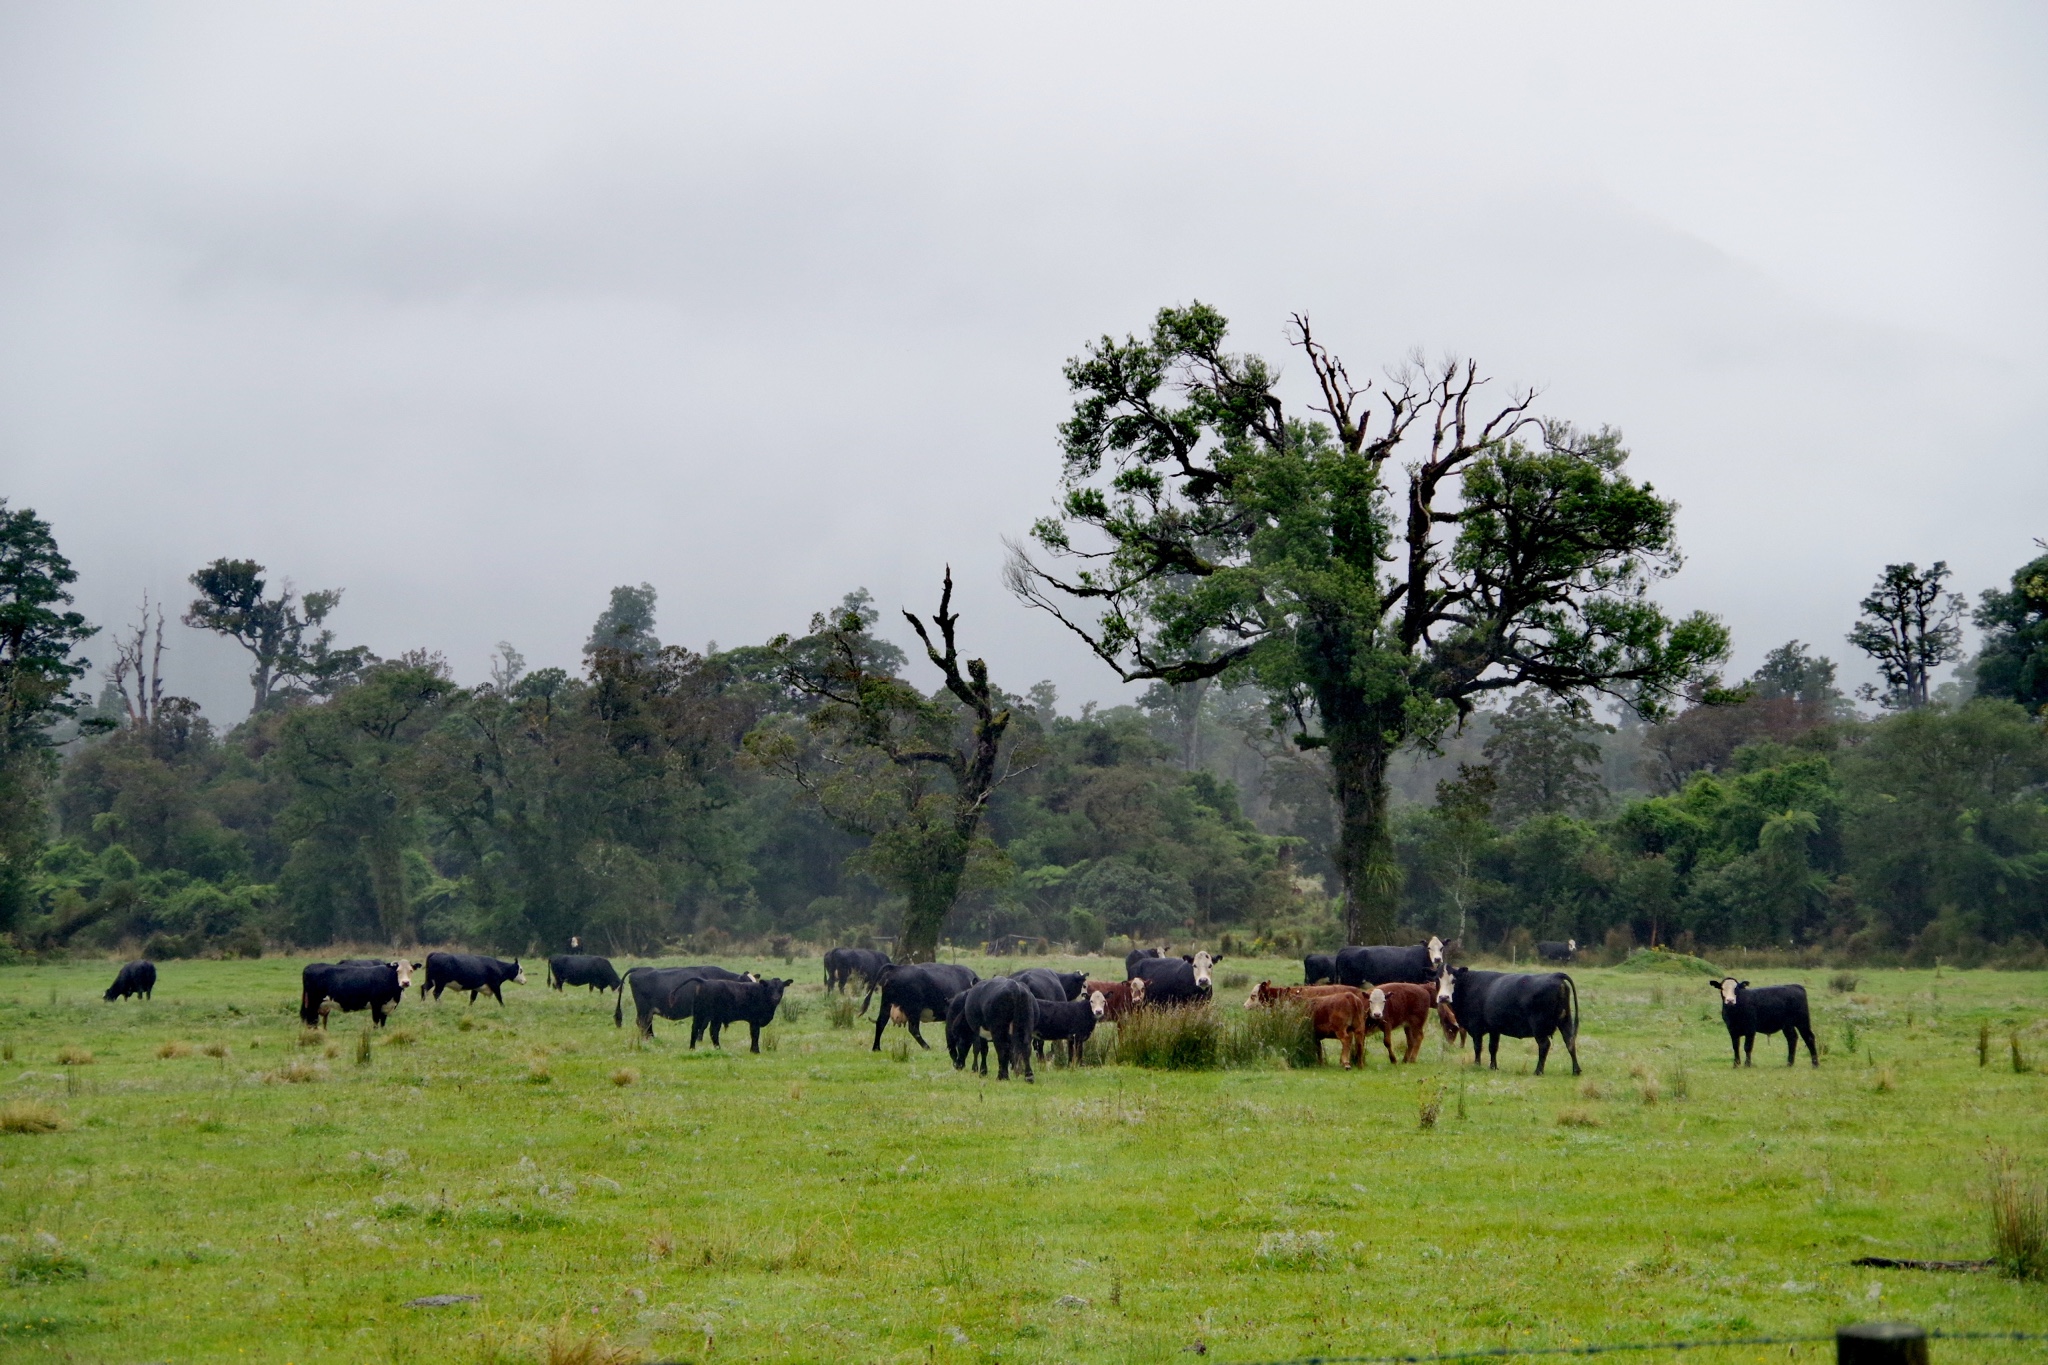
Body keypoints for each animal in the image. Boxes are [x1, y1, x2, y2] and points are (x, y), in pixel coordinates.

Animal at [618, 965, 765, 1039]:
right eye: (747, 982)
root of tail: (640, 968)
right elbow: (703, 1026)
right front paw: (699, 1039)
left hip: (648, 1010)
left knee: (647, 1023)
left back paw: (651, 1038)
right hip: (643, 1008)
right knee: (642, 1023)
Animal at [1441, 961, 1581, 1080]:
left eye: (1454, 980)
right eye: (1438, 979)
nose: (1443, 997)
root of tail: (1556, 975)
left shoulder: (1476, 1028)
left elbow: (1478, 1047)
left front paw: (1477, 1065)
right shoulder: (1494, 1029)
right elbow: (1493, 1047)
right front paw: (1493, 1067)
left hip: (1539, 1026)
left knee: (1544, 1045)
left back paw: (1538, 1071)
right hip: (1565, 1021)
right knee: (1570, 1042)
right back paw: (1576, 1071)